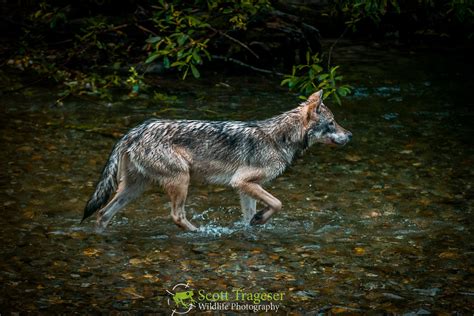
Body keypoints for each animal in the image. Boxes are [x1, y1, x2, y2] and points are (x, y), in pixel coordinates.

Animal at [80, 90, 352, 231]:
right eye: (332, 123)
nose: (350, 134)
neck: (280, 138)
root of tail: (135, 131)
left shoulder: (245, 187)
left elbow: (251, 215)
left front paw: (253, 224)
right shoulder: (241, 181)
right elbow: (278, 203)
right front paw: (260, 219)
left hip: (135, 189)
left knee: (102, 213)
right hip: (181, 180)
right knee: (176, 216)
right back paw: (199, 233)